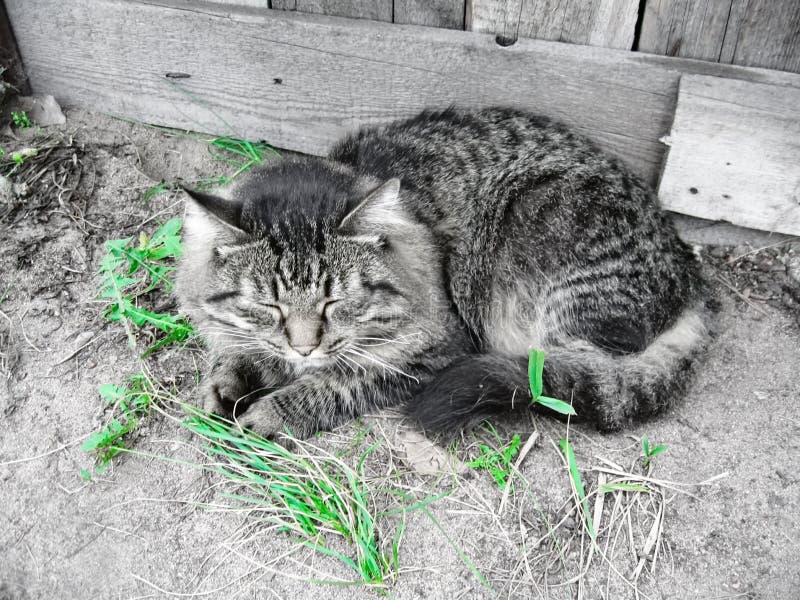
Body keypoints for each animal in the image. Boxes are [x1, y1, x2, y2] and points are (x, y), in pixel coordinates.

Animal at [175, 108, 712, 438]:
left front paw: (275, 409)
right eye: (268, 305)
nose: (304, 346)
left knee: (570, 373)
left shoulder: (434, 353)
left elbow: (335, 382)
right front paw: (228, 381)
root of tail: (693, 278)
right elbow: (245, 351)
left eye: (334, 301)